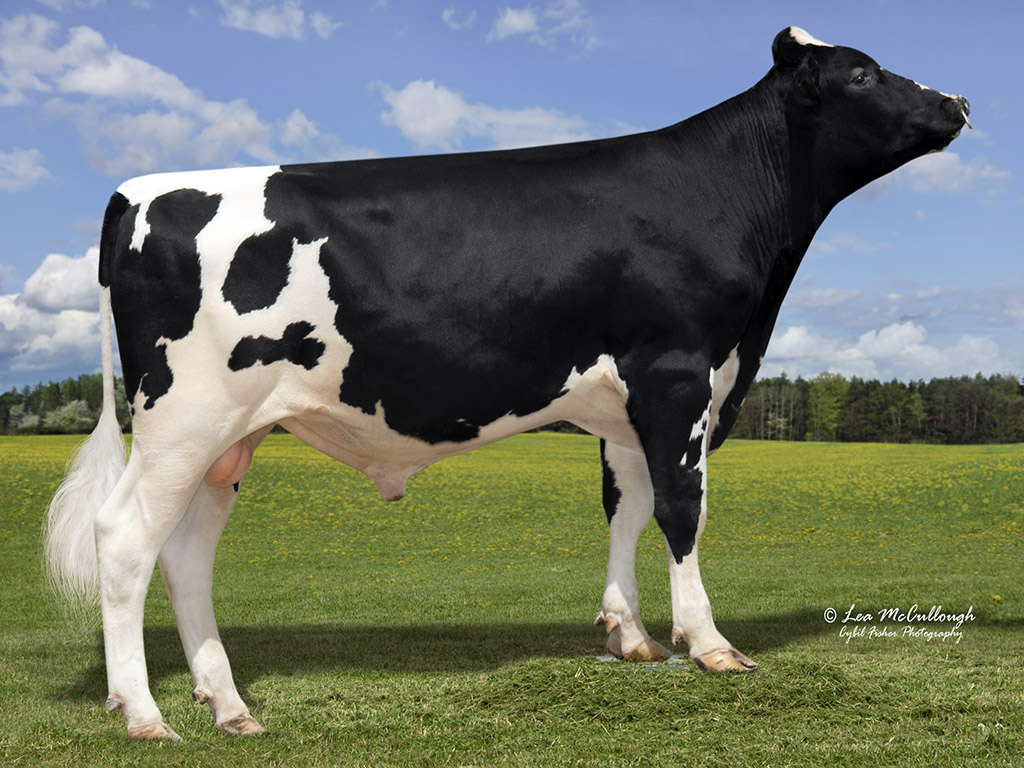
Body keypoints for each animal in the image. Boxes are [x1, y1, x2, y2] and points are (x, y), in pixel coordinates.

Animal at [44, 27, 969, 740]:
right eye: (861, 73)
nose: (959, 101)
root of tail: (139, 190)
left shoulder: (625, 403)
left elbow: (625, 507)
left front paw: (628, 633)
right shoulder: (678, 376)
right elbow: (682, 510)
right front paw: (709, 644)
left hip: (228, 437)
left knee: (186, 552)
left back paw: (228, 705)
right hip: (184, 415)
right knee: (124, 538)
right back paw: (144, 714)